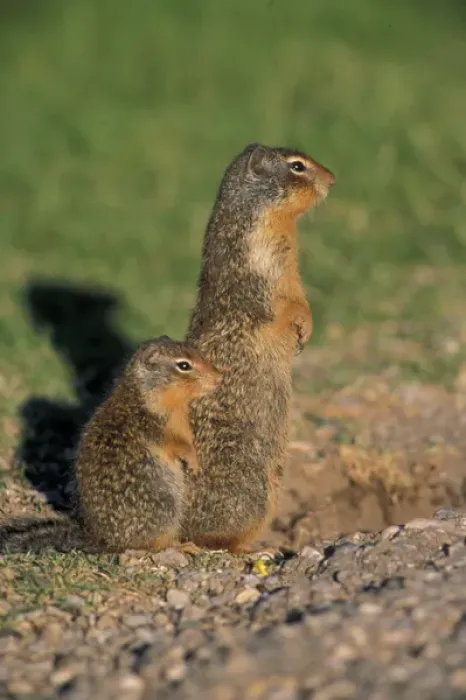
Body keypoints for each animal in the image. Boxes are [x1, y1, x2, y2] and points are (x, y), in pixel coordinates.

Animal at [0, 337, 221, 554]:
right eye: (184, 365)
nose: (218, 377)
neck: (144, 393)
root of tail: (102, 540)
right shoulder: (160, 429)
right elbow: (179, 446)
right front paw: (193, 461)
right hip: (166, 508)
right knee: (154, 544)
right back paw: (183, 545)